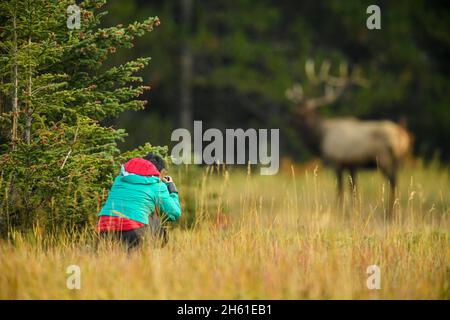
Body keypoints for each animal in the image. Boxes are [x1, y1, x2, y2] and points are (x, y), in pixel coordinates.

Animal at [288, 59, 412, 218]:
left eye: (300, 112)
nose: (288, 119)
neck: (321, 137)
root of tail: (403, 136)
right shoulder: (352, 165)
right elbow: (353, 189)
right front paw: (353, 211)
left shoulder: (337, 163)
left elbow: (340, 190)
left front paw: (340, 211)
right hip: (396, 160)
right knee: (395, 180)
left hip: (385, 158)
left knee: (393, 181)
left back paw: (390, 213)